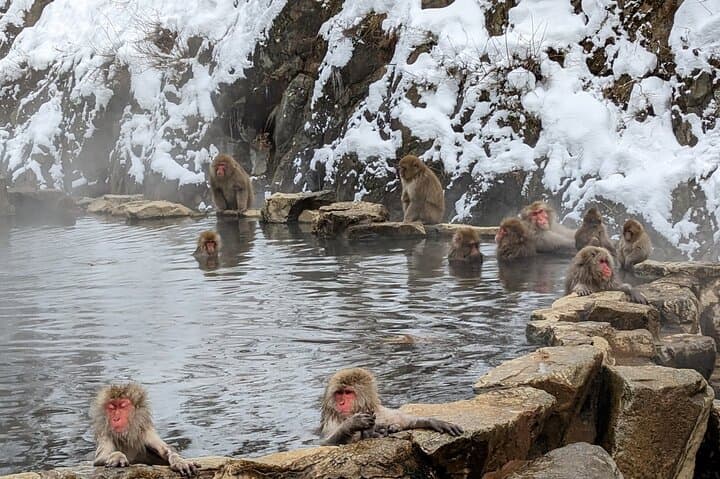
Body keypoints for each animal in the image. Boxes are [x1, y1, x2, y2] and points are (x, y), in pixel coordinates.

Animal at [320, 367, 463, 445]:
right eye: (339, 393)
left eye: (348, 393)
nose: (341, 403)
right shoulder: (332, 421)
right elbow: (325, 443)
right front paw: (352, 423)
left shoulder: (380, 411)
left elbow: (404, 420)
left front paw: (432, 422)